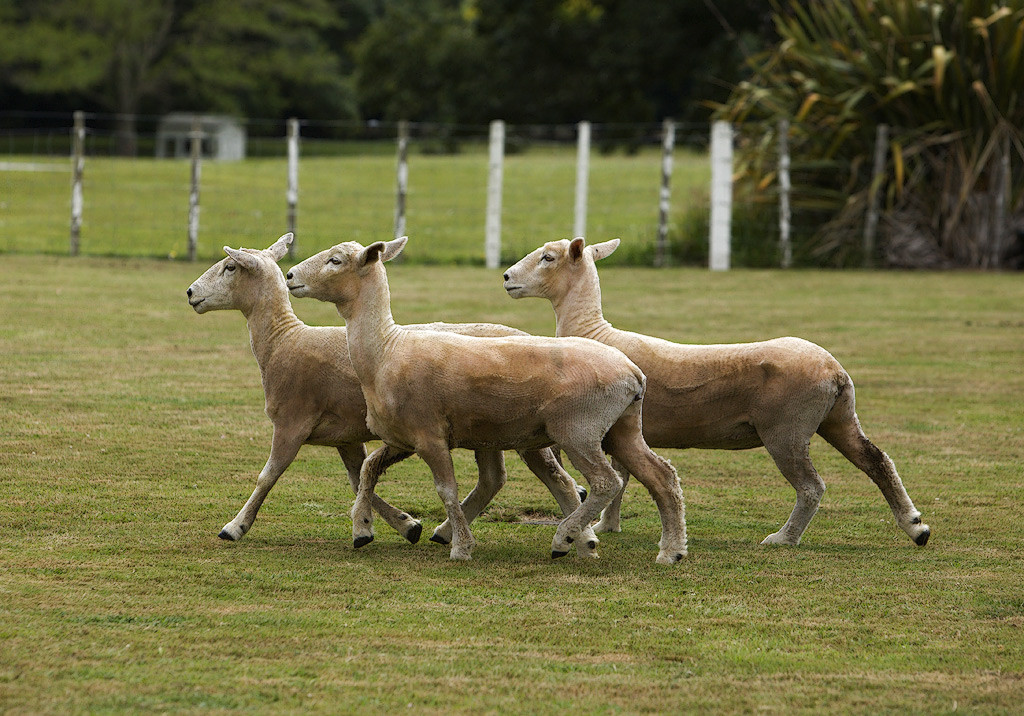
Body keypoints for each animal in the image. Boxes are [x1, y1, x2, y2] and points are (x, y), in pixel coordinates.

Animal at [184, 235, 585, 549]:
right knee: (494, 479)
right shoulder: (345, 436)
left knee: (554, 477)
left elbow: (268, 475)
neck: (283, 340)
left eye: (229, 267)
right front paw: (404, 525)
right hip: (488, 432)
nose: (189, 292)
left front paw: (235, 526)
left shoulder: (291, 423)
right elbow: (358, 478)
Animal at [286, 237, 688, 561]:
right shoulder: (403, 437)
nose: (289, 276)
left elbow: (446, 490)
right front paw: (363, 527)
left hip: (579, 430)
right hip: (622, 428)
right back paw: (670, 551)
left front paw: (461, 547)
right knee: (662, 478)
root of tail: (632, 371)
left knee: (607, 482)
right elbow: (369, 470)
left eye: (335, 260)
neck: (386, 349)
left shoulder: (429, 435)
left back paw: (565, 538)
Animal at [499, 239, 933, 549]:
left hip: (787, 430)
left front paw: (596, 525)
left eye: (548, 257)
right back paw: (915, 526)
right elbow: (622, 479)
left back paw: (783, 539)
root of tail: (835, 370)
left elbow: (618, 478)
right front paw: (609, 525)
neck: (593, 330)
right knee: (877, 461)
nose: (505, 277)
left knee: (812, 487)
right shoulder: (622, 428)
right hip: (837, 417)